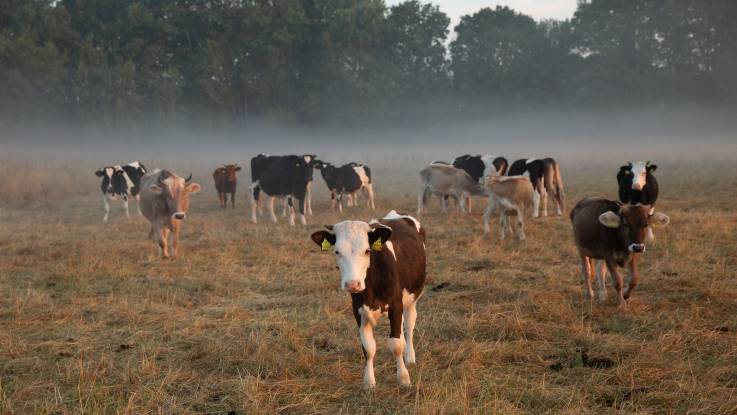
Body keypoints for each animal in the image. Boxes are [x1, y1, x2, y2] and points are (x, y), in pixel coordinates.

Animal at [310, 211, 426, 390]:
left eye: (367, 250)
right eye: (337, 252)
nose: (352, 284)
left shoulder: (396, 305)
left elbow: (396, 345)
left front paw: (403, 378)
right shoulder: (358, 310)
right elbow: (368, 347)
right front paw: (369, 381)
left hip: (412, 299)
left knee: (409, 324)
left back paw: (410, 357)